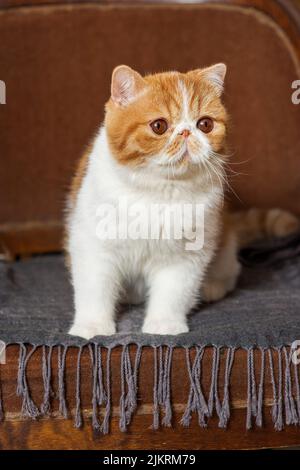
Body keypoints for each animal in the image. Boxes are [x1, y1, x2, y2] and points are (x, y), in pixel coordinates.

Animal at [66, 64, 300, 340]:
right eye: (159, 126)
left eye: (205, 124)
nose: (187, 132)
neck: (160, 192)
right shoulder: (93, 244)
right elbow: (94, 287)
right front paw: (93, 326)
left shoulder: (188, 253)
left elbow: (173, 292)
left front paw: (164, 324)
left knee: (231, 272)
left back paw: (210, 288)